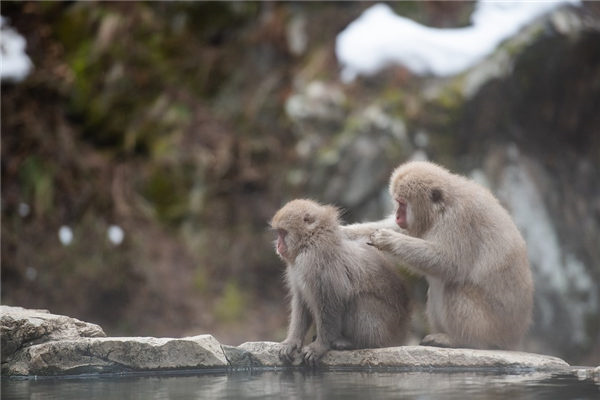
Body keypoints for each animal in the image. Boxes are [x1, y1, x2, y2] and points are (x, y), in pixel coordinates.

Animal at [272, 199, 412, 366]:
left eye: (283, 233)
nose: (278, 245)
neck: (311, 240)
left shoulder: (314, 261)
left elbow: (330, 300)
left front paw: (320, 346)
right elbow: (301, 301)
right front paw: (292, 342)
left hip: (388, 326)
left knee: (360, 300)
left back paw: (356, 343)